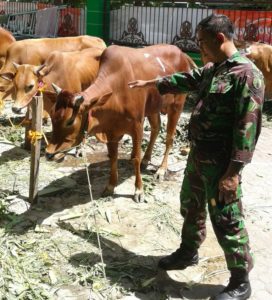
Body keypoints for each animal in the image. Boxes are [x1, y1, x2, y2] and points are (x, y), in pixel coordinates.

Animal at [46, 44, 196, 202]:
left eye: (70, 121)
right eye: (52, 115)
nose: (48, 154)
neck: (116, 92)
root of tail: (182, 53)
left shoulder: (137, 126)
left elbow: (135, 157)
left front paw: (139, 190)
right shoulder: (111, 131)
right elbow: (113, 156)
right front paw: (110, 186)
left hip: (177, 105)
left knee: (169, 138)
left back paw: (161, 170)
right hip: (153, 108)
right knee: (155, 129)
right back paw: (146, 159)